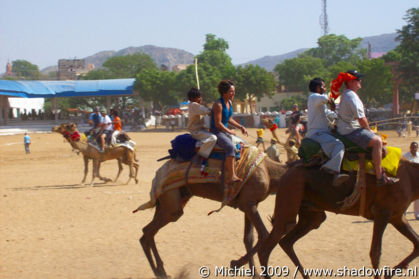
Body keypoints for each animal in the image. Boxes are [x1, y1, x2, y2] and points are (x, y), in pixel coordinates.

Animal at [138, 156, 288, 278]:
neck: (270, 172)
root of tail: (157, 174)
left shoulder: (250, 204)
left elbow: (248, 238)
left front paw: (254, 273)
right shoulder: (248, 204)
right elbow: (264, 233)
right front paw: (235, 263)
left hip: (170, 202)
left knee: (147, 232)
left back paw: (161, 270)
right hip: (171, 203)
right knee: (148, 232)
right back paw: (159, 272)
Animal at [233, 160, 419, 279]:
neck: (410, 178)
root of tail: (287, 171)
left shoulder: (397, 216)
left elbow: (417, 244)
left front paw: (390, 273)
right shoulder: (383, 213)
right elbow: (375, 252)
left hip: (311, 213)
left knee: (287, 241)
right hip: (289, 199)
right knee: (270, 243)